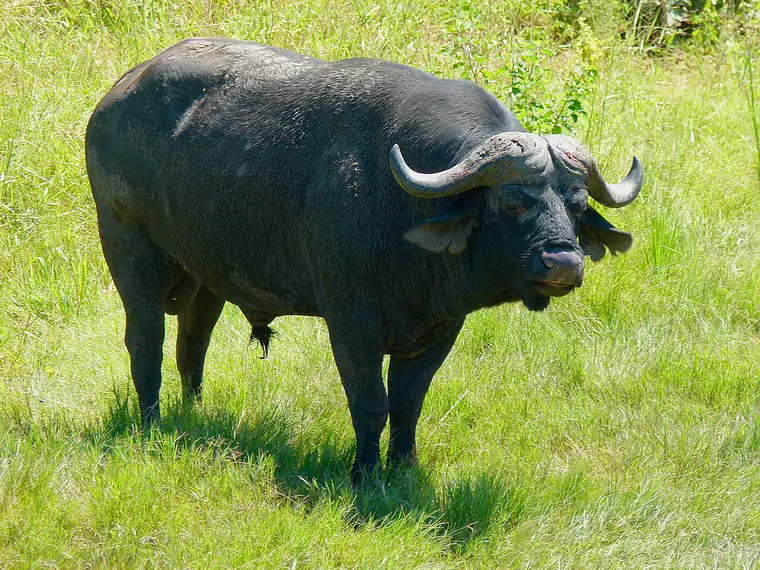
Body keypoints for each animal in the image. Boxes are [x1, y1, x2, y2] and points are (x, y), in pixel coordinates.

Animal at [85, 38, 643, 483]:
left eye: (576, 206)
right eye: (513, 202)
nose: (564, 265)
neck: (404, 214)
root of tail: (115, 96)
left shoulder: (441, 328)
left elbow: (408, 403)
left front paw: (404, 468)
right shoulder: (351, 324)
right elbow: (371, 403)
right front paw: (365, 474)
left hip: (207, 276)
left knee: (192, 345)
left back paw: (194, 415)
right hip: (128, 248)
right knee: (146, 340)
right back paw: (152, 423)